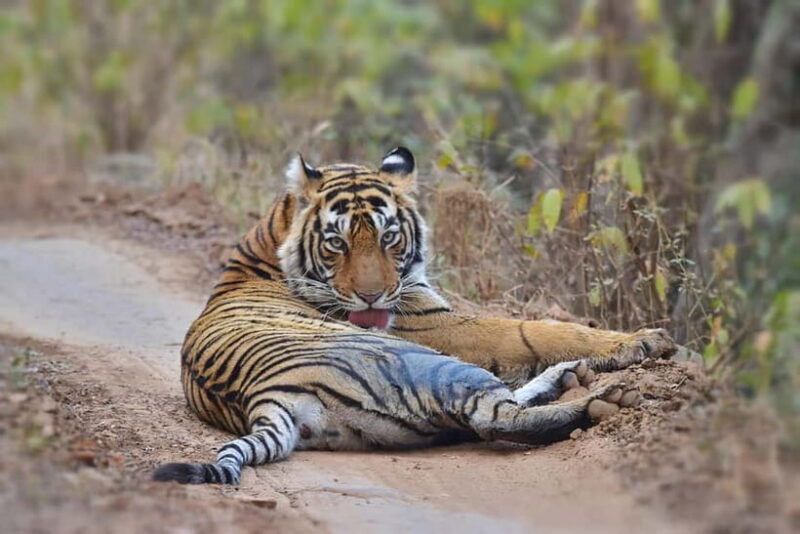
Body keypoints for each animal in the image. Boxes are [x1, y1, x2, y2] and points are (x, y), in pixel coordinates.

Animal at [153, 147, 675, 485]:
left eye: (388, 237)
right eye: (337, 242)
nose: (371, 297)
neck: (268, 237)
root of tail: (265, 399)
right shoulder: (438, 324)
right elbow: (533, 331)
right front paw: (644, 340)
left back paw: (570, 379)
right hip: (427, 362)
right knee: (494, 418)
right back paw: (603, 400)